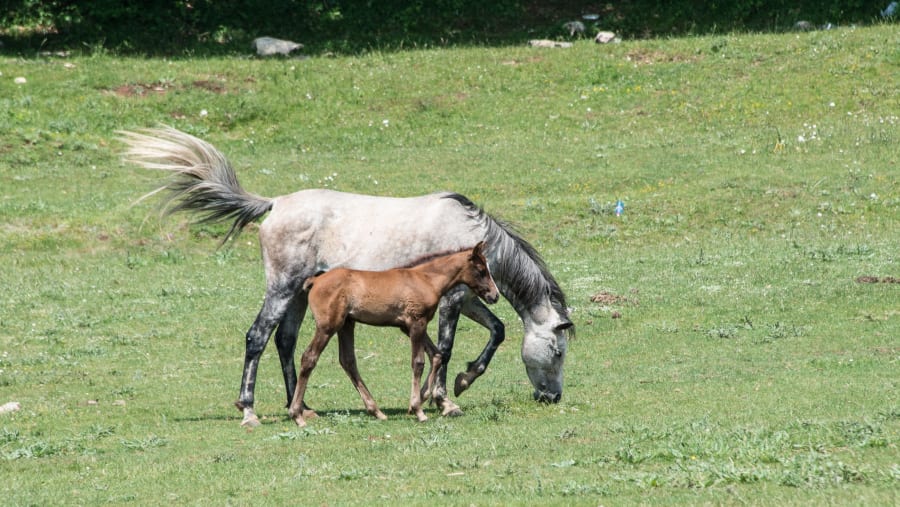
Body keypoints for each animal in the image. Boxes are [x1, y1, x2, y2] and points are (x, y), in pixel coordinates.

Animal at [290, 242, 499, 426]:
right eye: (481, 270)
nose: (494, 295)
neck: (426, 279)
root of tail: (315, 280)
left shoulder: (408, 326)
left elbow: (437, 355)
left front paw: (421, 400)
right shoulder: (416, 323)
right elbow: (418, 362)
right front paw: (418, 410)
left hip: (346, 324)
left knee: (348, 361)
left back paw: (377, 412)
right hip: (327, 326)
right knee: (309, 357)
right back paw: (297, 415)